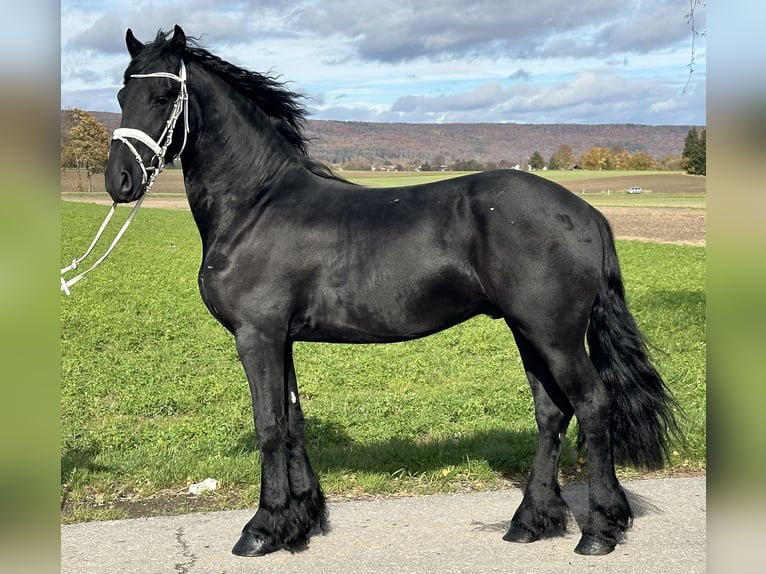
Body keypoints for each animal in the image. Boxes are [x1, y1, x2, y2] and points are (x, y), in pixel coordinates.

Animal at [104, 25, 678, 557]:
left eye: (163, 96)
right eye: (121, 93)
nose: (120, 181)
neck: (257, 205)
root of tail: (586, 212)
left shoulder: (257, 336)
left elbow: (268, 426)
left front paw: (262, 529)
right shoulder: (281, 339)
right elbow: (293, 422)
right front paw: (302, 521)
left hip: (554, 335)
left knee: (593, 404)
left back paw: (598, 530)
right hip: (528, 332)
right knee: (552, 413)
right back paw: (532, 521)